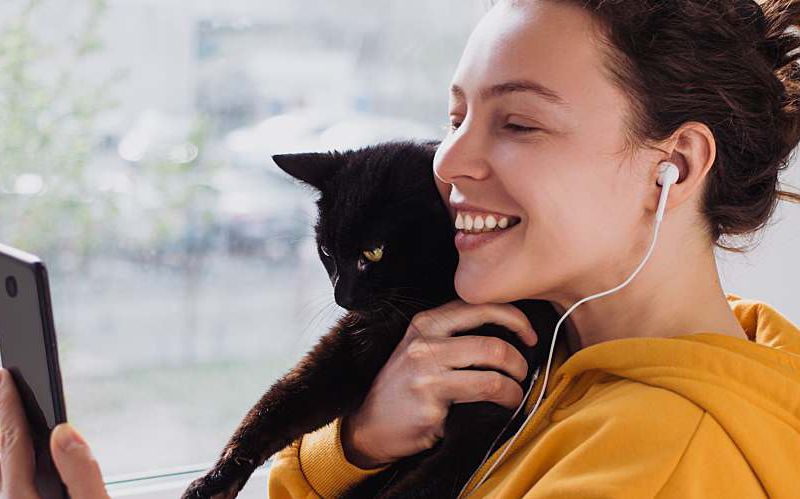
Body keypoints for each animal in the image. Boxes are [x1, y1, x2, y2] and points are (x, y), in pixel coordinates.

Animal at [181, 139, 560, 498]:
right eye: (327, 251)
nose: (342, 297)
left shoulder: (481, 421)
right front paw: (213, 481)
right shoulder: (345, 352)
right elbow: (276, 406)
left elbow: (418, 487)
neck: (417, 308)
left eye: (374, 252)